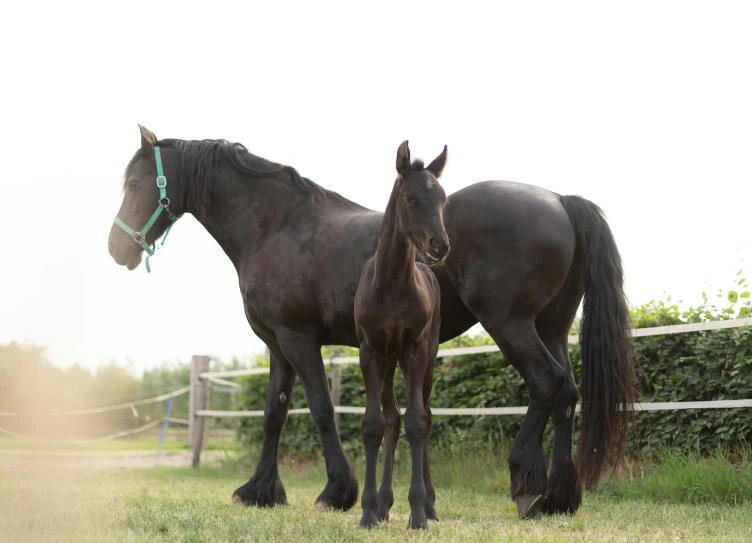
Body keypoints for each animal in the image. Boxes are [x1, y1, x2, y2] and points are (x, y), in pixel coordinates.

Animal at [107, 126, 636, 520]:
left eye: (133, 185)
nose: (117, 248)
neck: (278, 226)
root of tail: (559, 199)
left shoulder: (299, 339)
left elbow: (321, 409)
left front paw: (337, 492)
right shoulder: (278, 345)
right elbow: (275, 413)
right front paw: (259, 490)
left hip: (510, 324)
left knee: (546, 384)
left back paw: (527, 483)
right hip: (552, 327)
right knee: (568, 392)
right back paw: (559, 498)